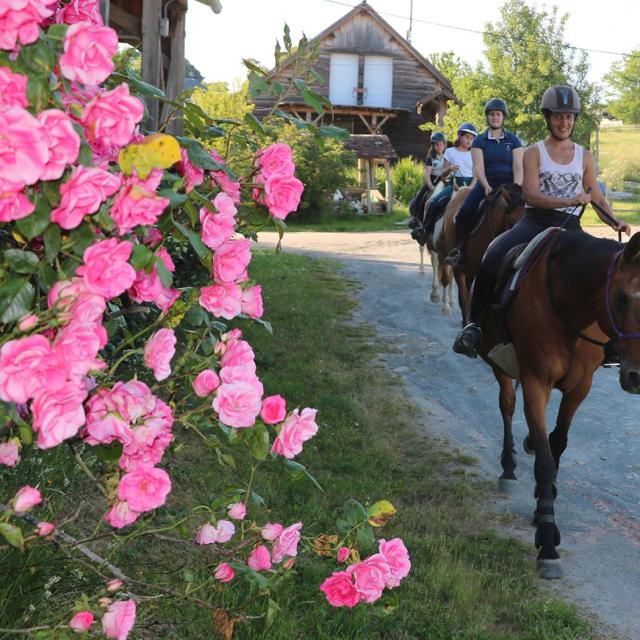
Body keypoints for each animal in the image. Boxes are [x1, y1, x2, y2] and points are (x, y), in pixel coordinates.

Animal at [480, 231, 640, 580]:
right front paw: (548, 542)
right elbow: (544, 458)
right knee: (507, 405)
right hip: (499, 363)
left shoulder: (580, 387)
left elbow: (557, 442)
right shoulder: (535, 383)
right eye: (622, 298)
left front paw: (545, 499)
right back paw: (508, 468)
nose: (638, 376)